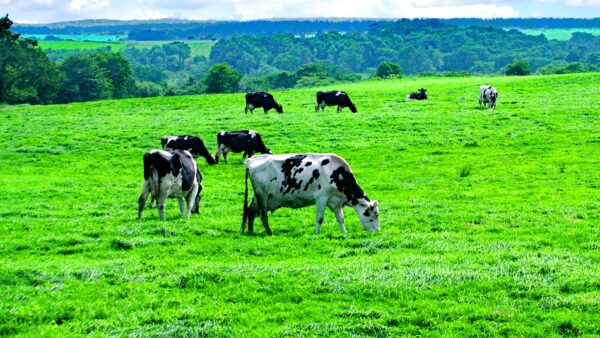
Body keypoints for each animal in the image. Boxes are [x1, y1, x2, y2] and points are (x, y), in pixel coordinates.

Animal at [240, 153, 378, 235]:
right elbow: (320, 218)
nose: (377, 231)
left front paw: (344, 232)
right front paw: (317, 234)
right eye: (372, 215)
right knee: (263, 216)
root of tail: (251, 160)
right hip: (262, 195)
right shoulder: (321, 198)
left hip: (258, 197)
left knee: (250, 212)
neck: (336, 173)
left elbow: (340, 218)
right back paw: (269, 232)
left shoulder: (335, 201)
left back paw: (251, 231)